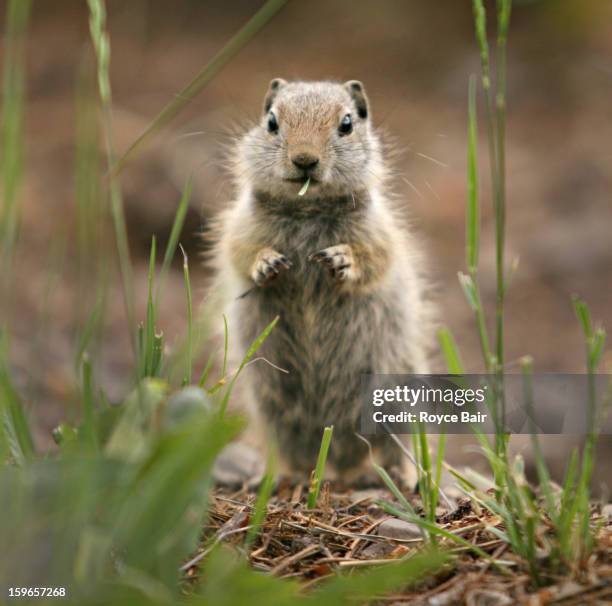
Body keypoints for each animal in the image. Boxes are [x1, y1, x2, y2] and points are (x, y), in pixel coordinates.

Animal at [213, 78, 432, 482]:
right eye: (271, 122)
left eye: (347, 124)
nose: (304, 160)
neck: (307, 207)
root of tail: (341, 459)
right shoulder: (239, 227)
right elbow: (241, 252)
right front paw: (267, 264)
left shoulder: (379, 233)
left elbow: (374, 257)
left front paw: (340, 259)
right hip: (272, 406)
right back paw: (288, 476)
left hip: (398, 397)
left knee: (398, 447)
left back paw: (404, 477)